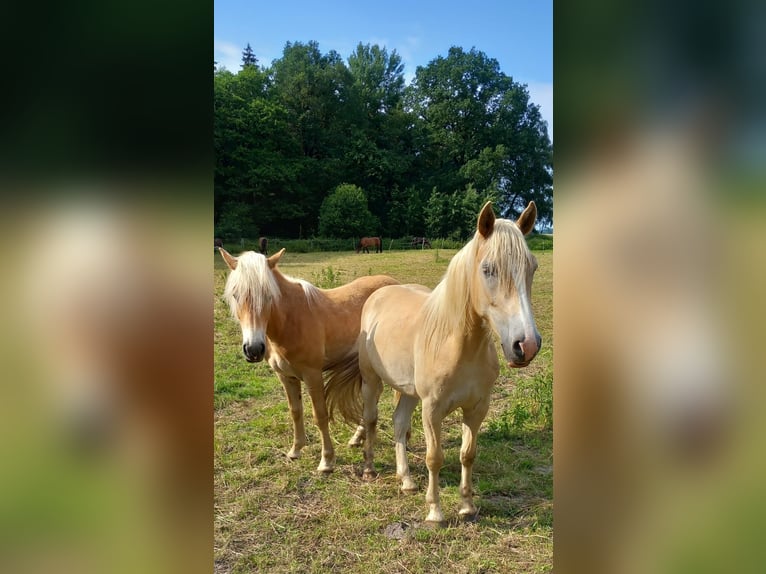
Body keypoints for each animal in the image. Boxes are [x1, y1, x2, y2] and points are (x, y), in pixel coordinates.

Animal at [219, 248, 400, 472]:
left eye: (269, 295)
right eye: (235, 295)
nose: (253, 349)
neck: (291, 321)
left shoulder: (313, 376)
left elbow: (320, 416)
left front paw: (327, 461)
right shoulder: (286, 377)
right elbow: (295, 411)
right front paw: (295, 450)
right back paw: (357, 438)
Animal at [328, 202, 544, 528]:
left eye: (532, 267)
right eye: (488, 269)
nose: (526, 345)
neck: (458, 347)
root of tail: (380, 293)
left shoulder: (477, 408)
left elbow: (468, 454)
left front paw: (467, 507)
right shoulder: (432, 409)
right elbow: (435, 457)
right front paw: (435, 512)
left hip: (408, 392)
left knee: (399, 423)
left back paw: (405, 480)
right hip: (372, 382)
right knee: (371, 419)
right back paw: (369, 469)